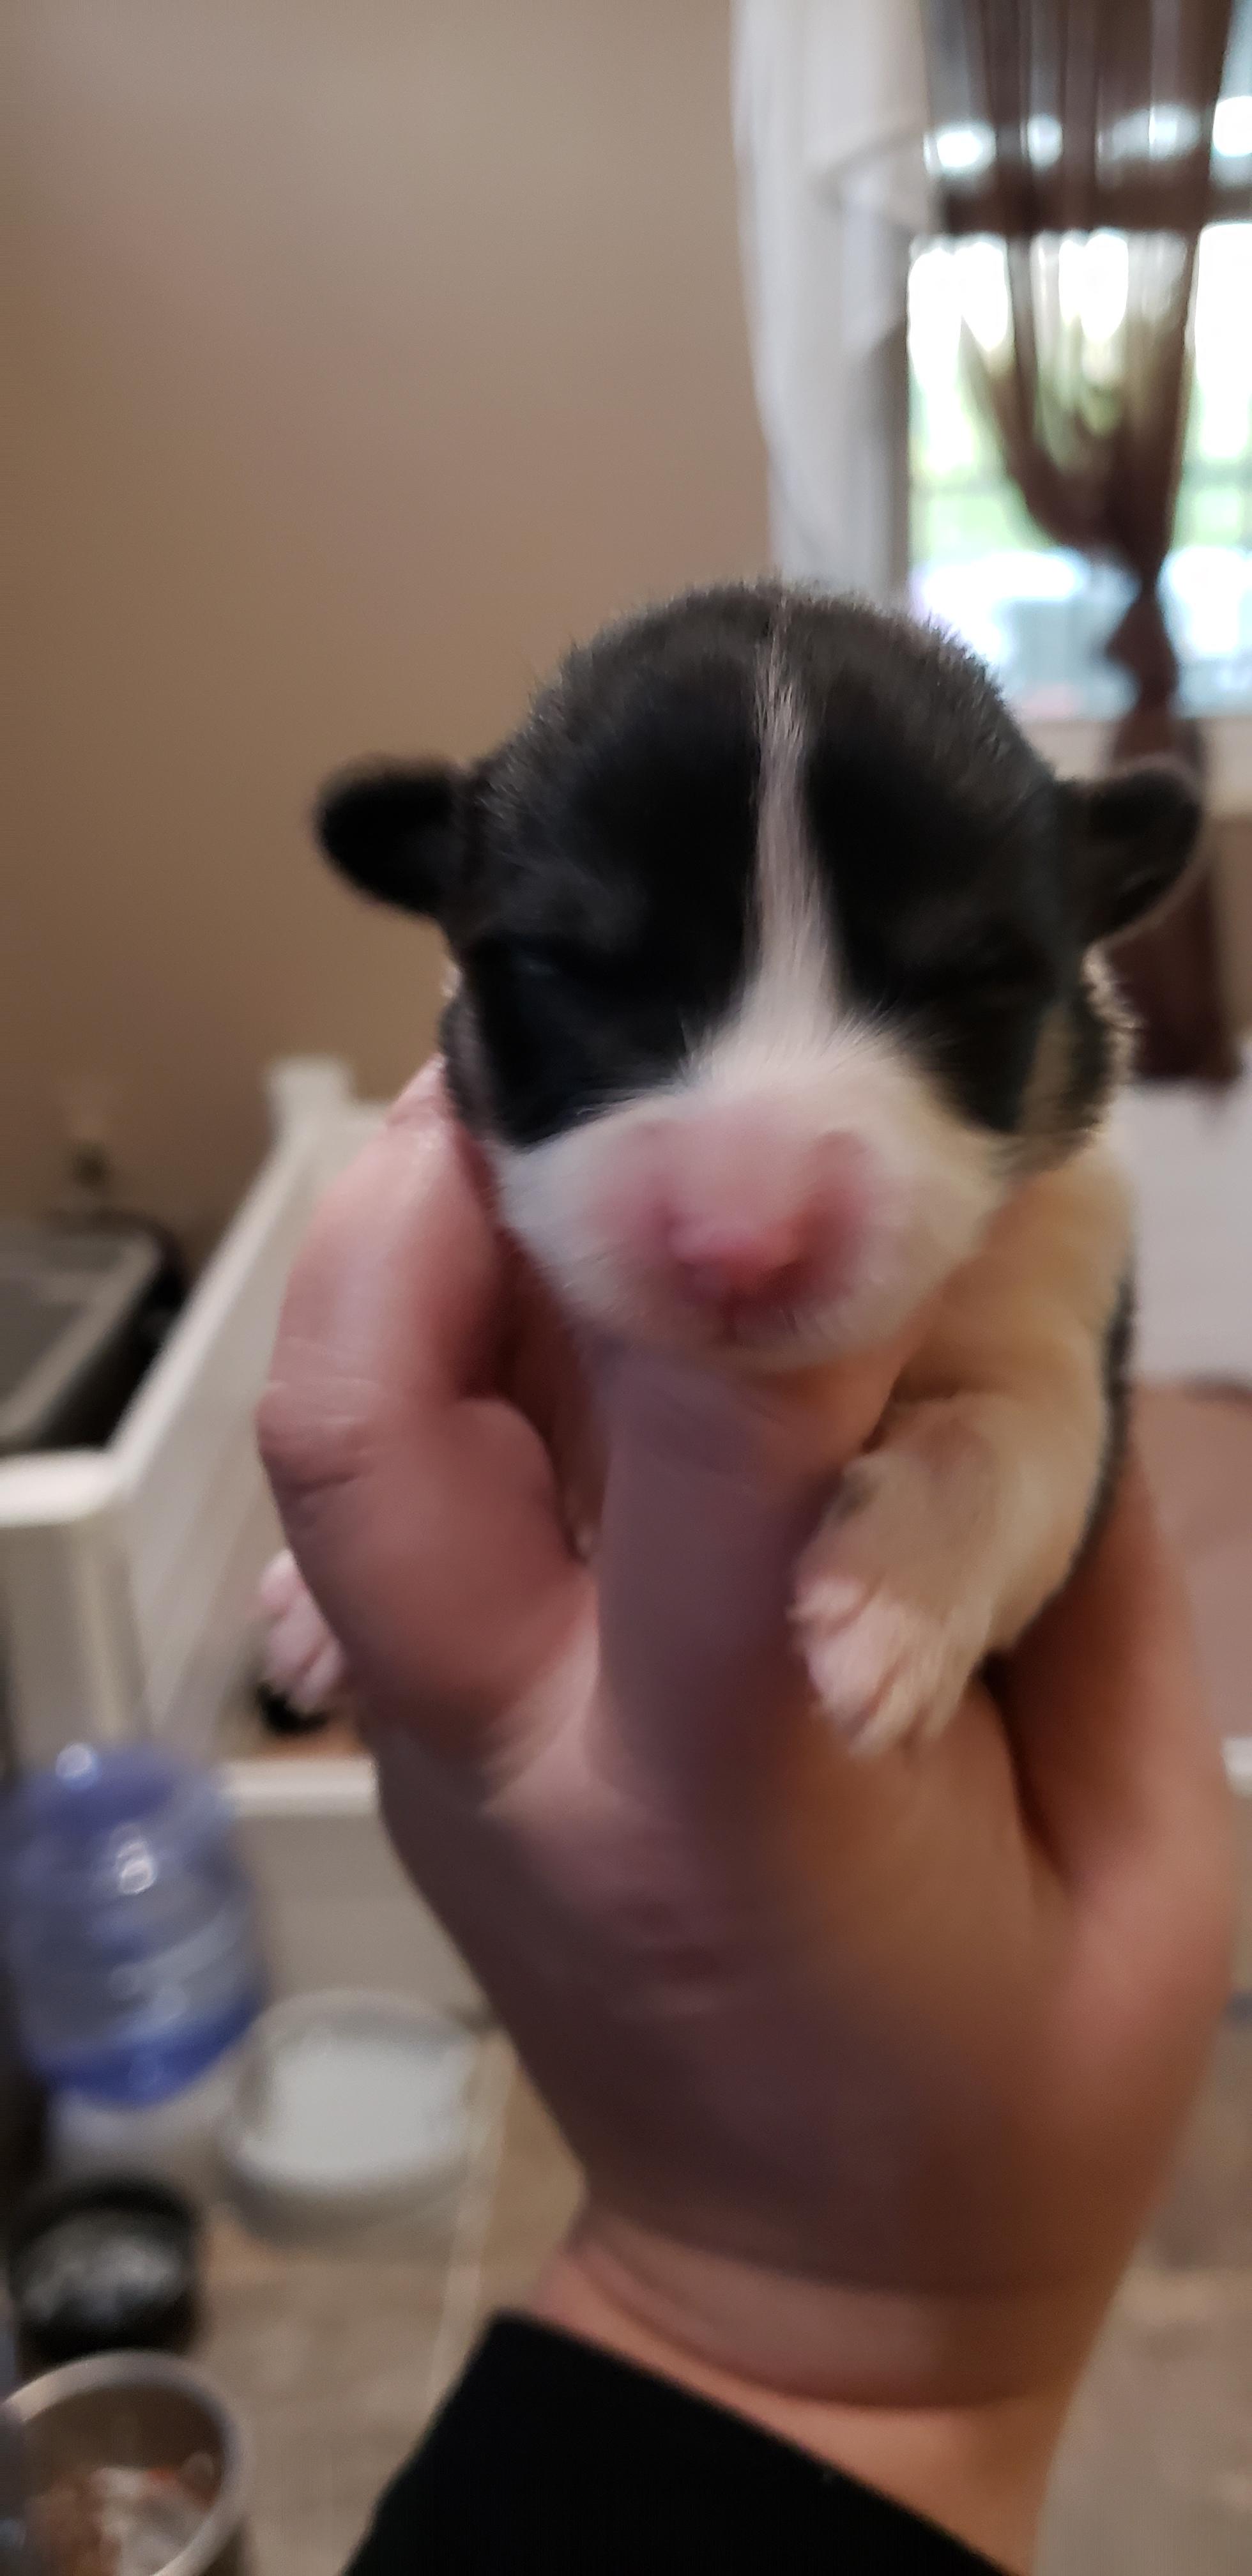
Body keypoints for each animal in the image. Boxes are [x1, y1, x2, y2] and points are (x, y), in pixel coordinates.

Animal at [261, 582, 1198, 1751]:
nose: (742, 1246)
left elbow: (1017, 1432)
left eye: (969, 983)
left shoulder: (1060, 1294)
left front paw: (896, 1603)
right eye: (569, 968)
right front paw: (313, 1607)